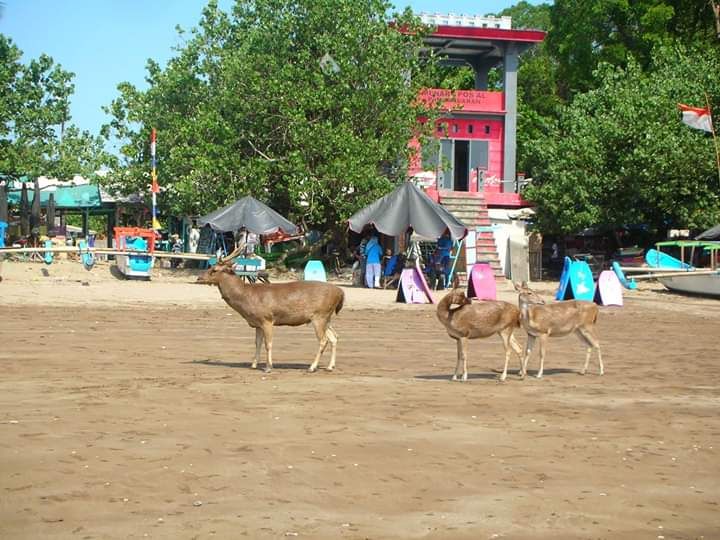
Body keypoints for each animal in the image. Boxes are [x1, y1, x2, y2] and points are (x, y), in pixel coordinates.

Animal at [197, 247, 344, 374]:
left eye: (214, 269)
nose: (199, 277)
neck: (246, 297)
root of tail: (340, 292)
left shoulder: (267, 319)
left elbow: (268, 344)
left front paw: (268, 367)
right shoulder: (257, 323)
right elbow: (257, 343)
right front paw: (253, 365)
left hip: (319, 315)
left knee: (324, 340)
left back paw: (312, 367)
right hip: (326, 317)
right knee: (334, 337)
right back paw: (330, 366)